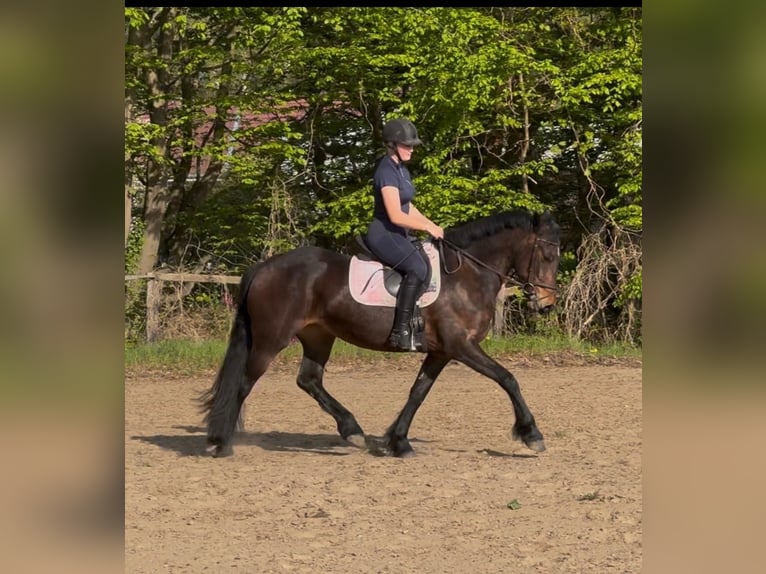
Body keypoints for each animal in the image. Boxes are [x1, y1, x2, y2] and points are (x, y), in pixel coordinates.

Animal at [200, 209, 561, 458]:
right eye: (547, 255)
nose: (546, 304)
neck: (467, 276)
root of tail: (265, 267)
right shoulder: (462, 346)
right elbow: (508, 378)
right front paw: (532, 434)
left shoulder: (441, 351)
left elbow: (418, 392)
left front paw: (397, 442)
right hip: (270, 340)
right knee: (244, 383)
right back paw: (221, 443)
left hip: (319, 336)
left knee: (309, 380)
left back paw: (352, 430)